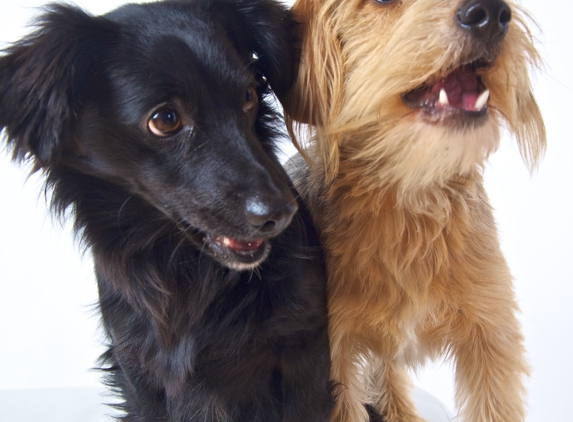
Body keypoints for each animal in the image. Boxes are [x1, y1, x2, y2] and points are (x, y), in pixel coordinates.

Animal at [0, 1, 332, 420]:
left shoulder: (306, 351)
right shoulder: (137, 369)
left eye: (248, 95)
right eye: (165, 120)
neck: (184, 269)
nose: (282, 213)